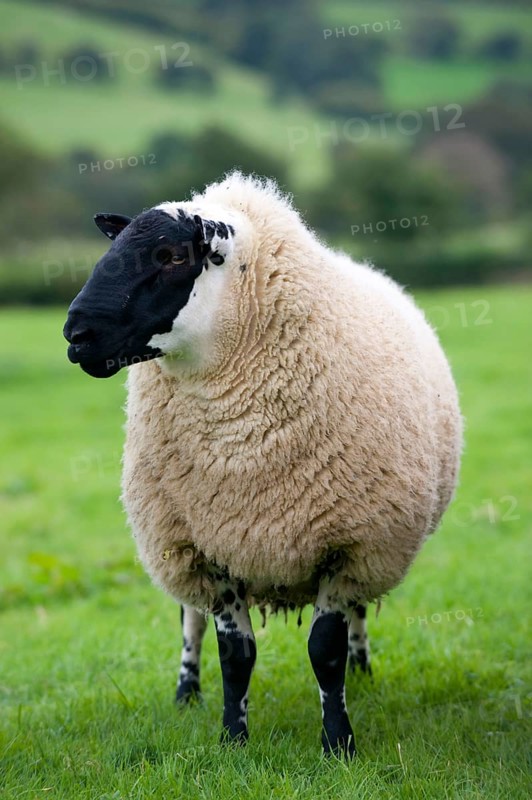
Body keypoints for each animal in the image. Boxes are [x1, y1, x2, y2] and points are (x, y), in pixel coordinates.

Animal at [63, 172, 462, 758]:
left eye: (172, 255)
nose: (76, 335)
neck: (241, 444)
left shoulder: (347, 542)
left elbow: (325, 649)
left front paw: (338, 743)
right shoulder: (207, 545)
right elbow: (236, 655)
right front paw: (233, 740)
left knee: (356, 613)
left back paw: (362, 671)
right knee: (190, 620)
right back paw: (186, 693)